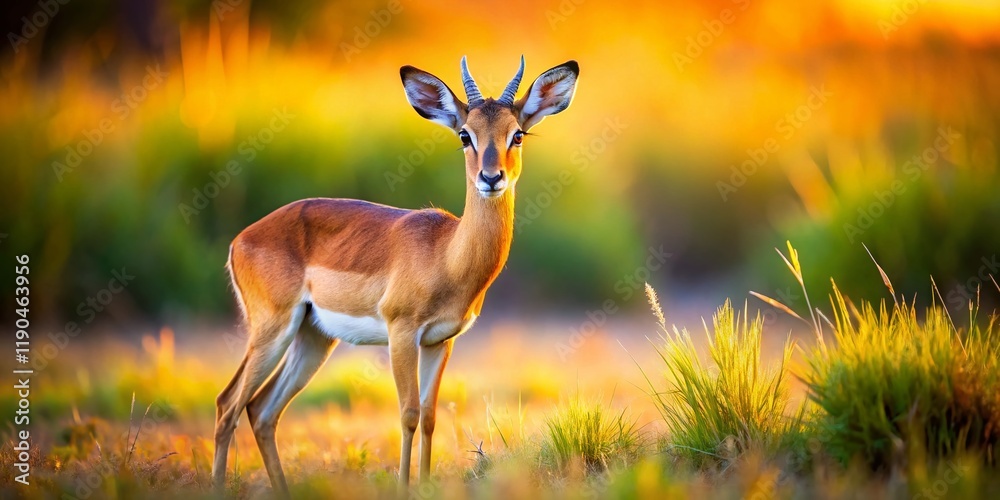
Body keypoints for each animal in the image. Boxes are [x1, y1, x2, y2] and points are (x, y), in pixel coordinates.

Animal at [211, 56, 578, 495]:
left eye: (518, 134)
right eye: (465, 134)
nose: (491, 178)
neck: (446, 255)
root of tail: (241, 239)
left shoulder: (440, 342)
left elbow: (431, 416)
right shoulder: (402, 333)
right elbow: (408, 414)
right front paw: (405, 488)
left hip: (312, 337)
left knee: (261, 410)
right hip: (272, 329)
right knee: (228, 404)